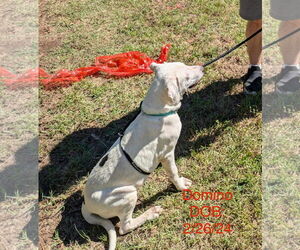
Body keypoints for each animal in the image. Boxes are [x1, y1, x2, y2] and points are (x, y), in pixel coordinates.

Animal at [82, 61, 204, 249]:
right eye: (187, 76)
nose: (202, 67)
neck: (157, 111)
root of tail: (86, 206)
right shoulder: (167, 154)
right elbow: (174, 173)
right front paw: (181, 187)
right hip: (127, 194)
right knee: (124, 227)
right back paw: (150, 213)